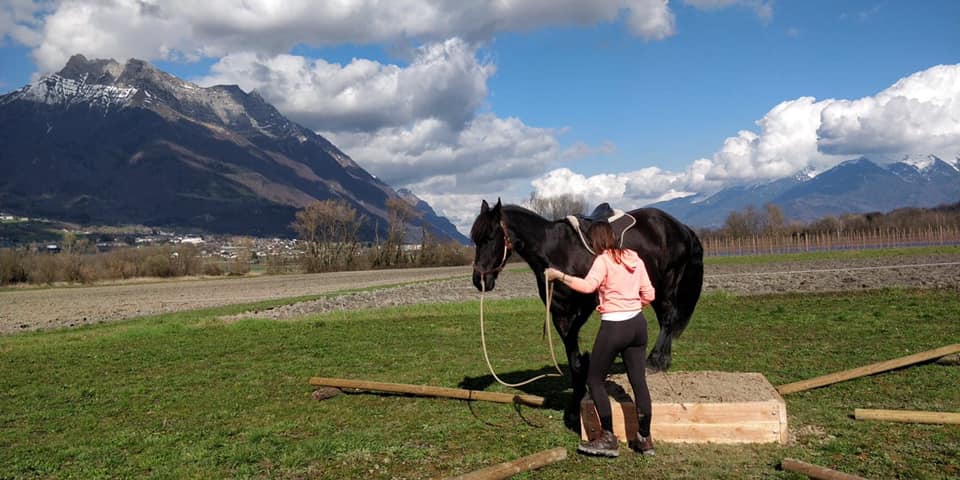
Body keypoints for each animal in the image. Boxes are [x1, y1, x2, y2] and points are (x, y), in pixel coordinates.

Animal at [470, 199, 704, 424]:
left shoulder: (586, 306)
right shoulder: (559, 314)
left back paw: (655, 361)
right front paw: (575, 408)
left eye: (489, 237)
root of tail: (680, 227)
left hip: (667, 284)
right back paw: (662, 361)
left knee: (668, 318)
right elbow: (573, 359)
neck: (555, 250)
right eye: (475, 239)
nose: (479, 280)